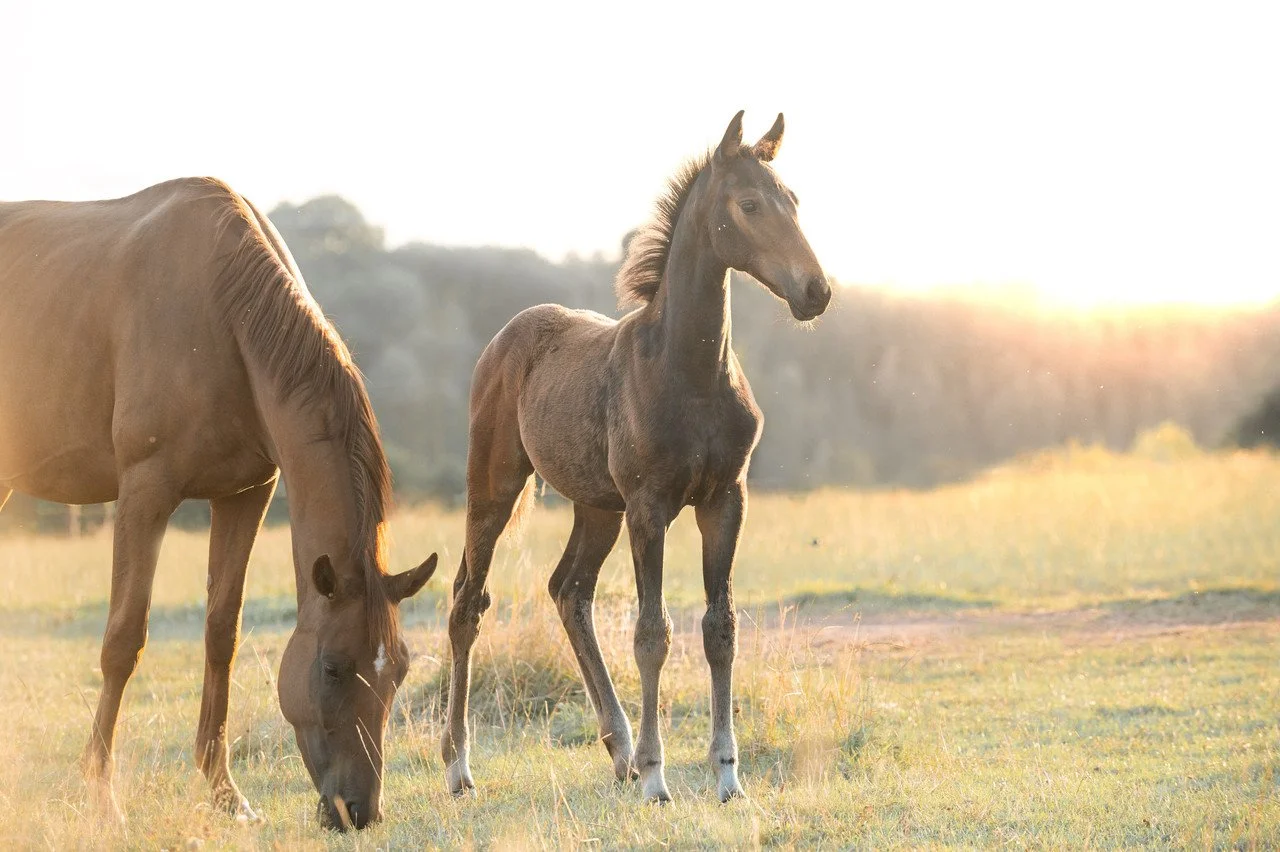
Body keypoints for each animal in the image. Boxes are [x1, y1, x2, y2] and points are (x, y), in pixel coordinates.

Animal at [0, 178, 438, 830]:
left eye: (401, 669)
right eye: (332, 667)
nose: (358, 811)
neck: (224, 317)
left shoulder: (243, 495)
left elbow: (220, 633)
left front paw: (225, 793)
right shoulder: (145, 491)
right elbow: (123, 641)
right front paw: (102, 796)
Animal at [440, 111, 830, 803]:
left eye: (794, 199)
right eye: (750, 204)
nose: (816, 291)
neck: (691, 373)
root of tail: (504, 338)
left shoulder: (725, 501)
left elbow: (720, 630)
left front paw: (727, 775)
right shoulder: (650, 508)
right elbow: (653, 634)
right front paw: (656, 776)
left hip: (598, 506)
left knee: (569, 591)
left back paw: (617, 749)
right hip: (494, 485)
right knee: (468, 602)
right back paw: (460, 767)